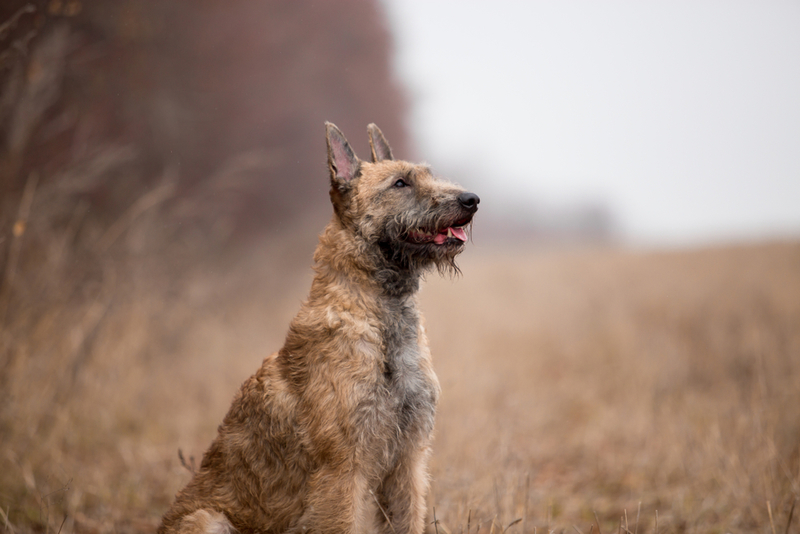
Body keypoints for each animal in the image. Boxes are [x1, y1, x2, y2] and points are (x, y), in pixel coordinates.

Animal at [159, 123, 478, 534]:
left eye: (427, 174)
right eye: (400, 183)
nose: (472, 199)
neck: (380, 317)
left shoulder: (408, 460)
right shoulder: (343, 469)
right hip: (206, 519)